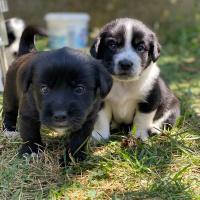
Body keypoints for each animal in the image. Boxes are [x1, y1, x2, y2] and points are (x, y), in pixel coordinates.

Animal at [2, 25, 112, 162]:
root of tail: (27, 52)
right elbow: (29, 133)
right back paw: (9, 131)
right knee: (8, 112)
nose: (60, 116)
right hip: (10, 94)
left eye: (79, 89)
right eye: (44, 89)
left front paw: (72, 158)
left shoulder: (88, 118)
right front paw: (32, 151)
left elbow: (79, 139)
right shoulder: (27, 114)